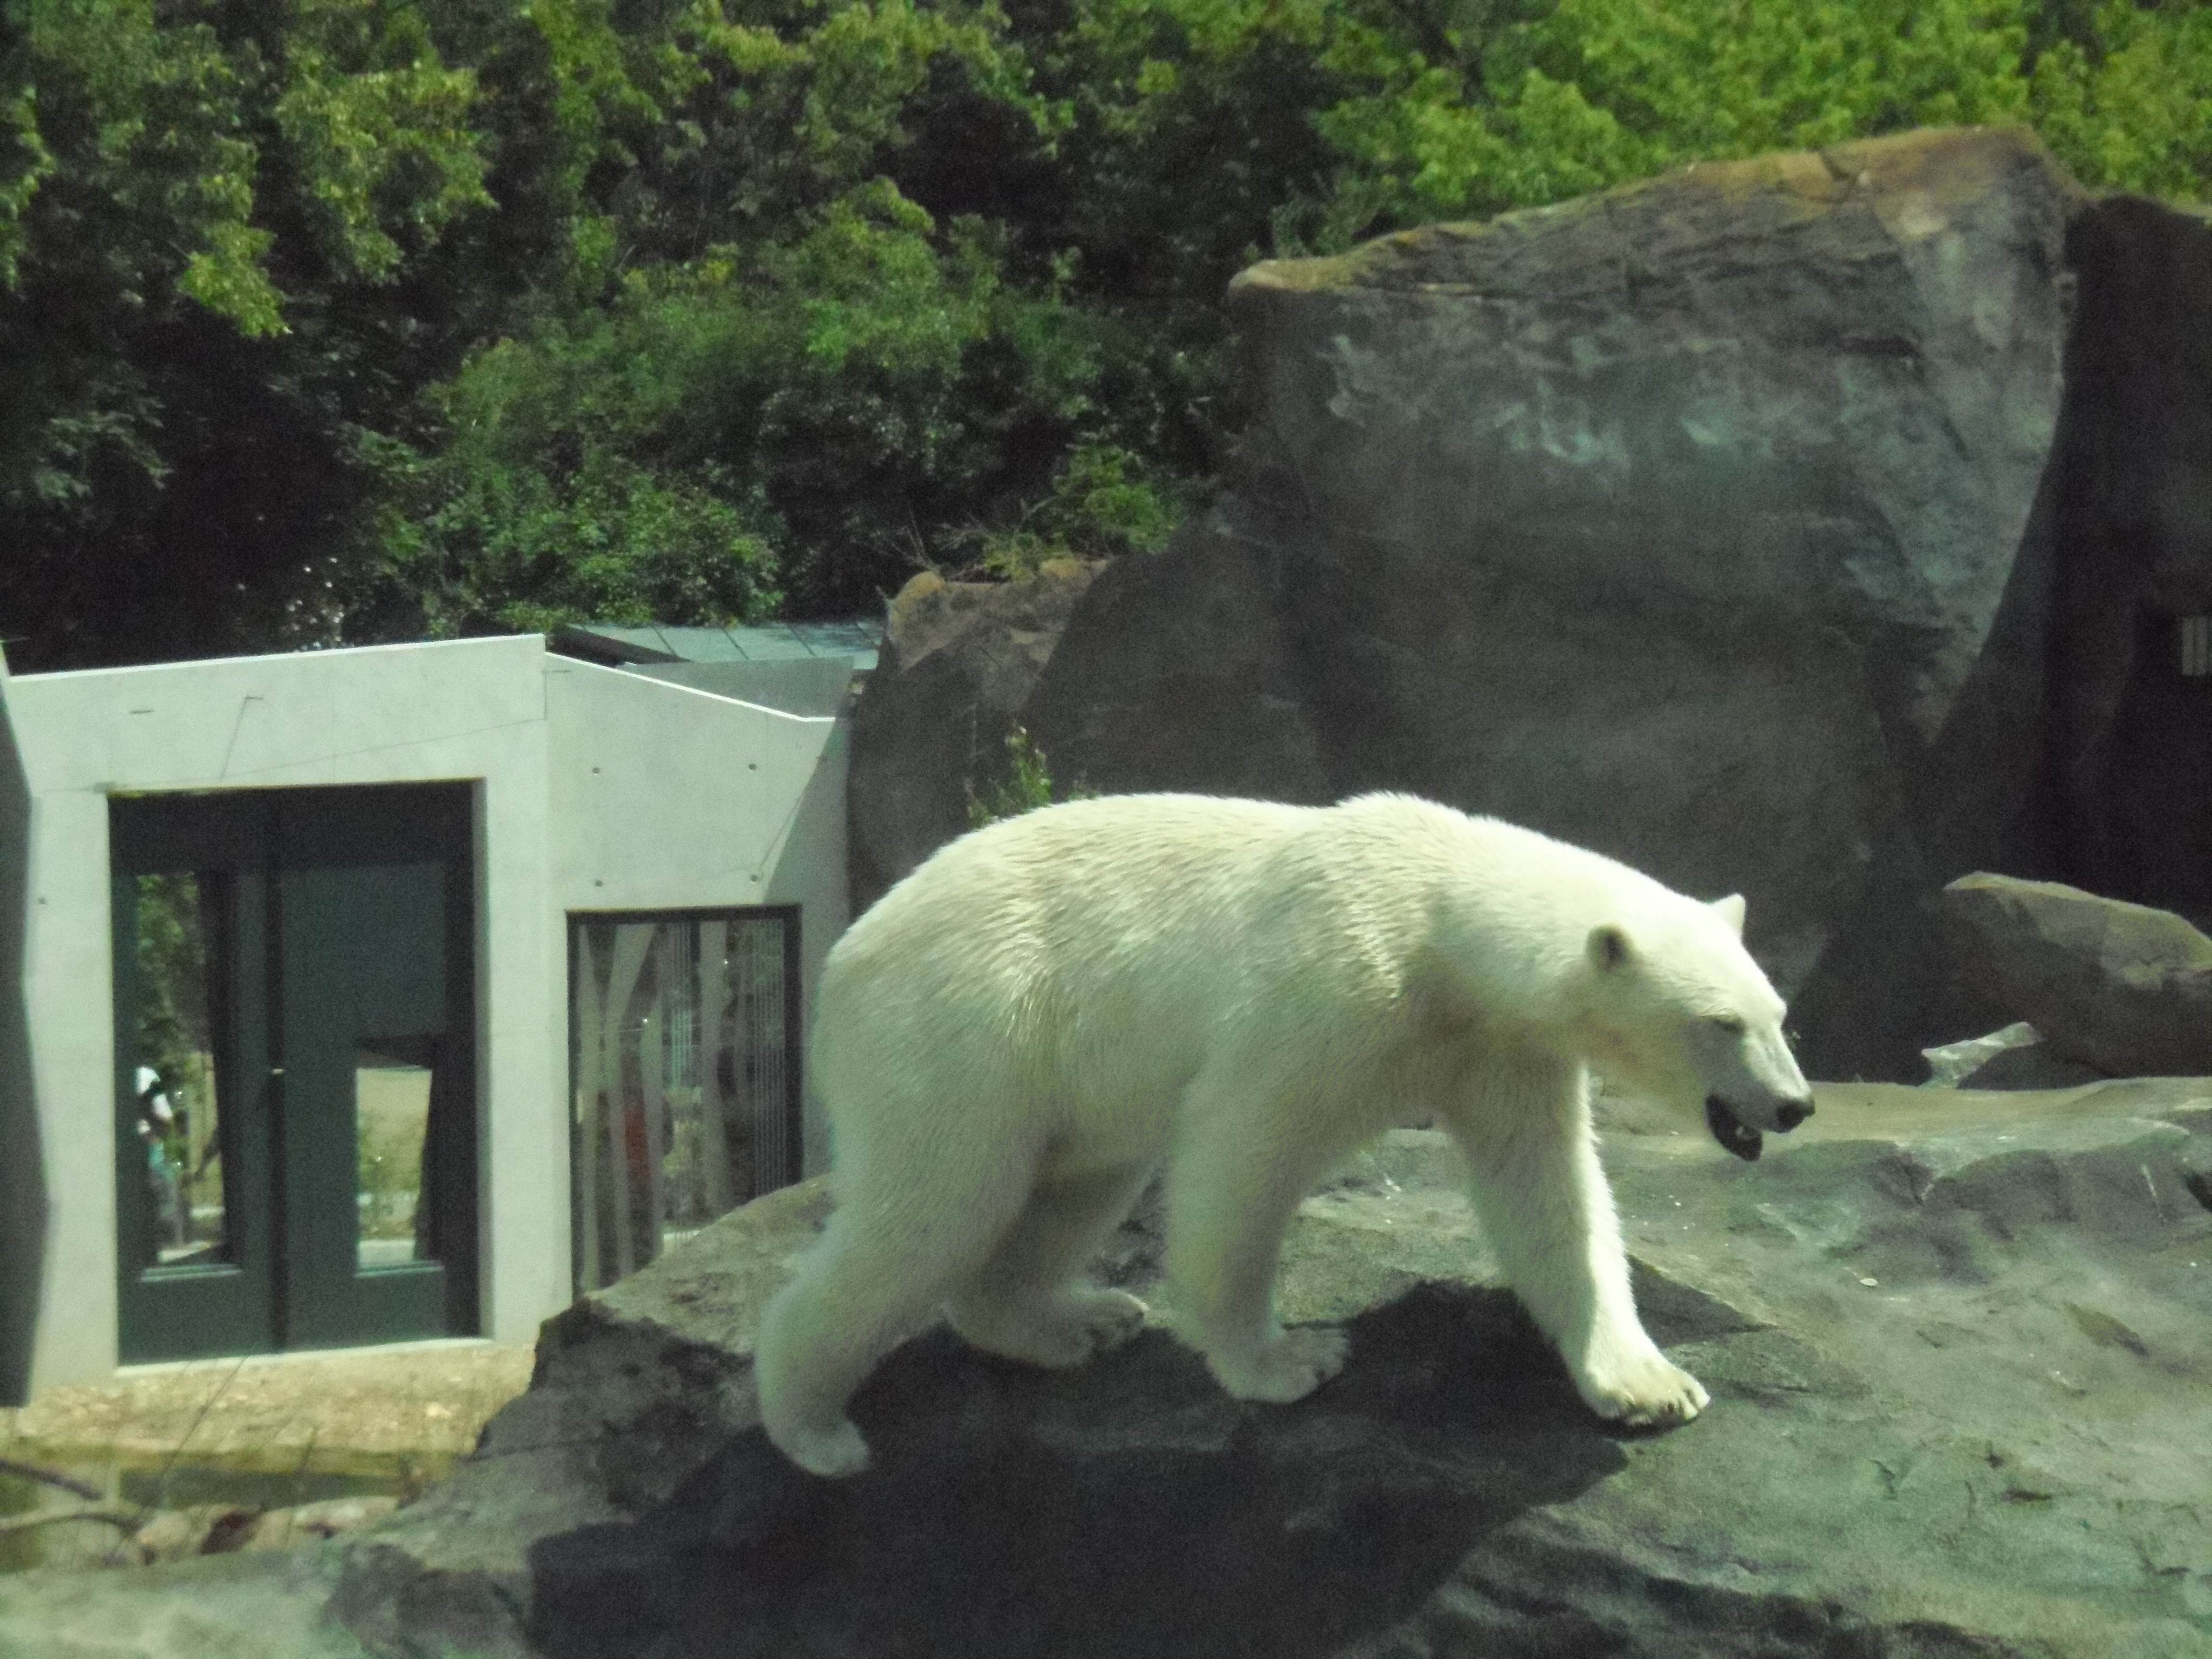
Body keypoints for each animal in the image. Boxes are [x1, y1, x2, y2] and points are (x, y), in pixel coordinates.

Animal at [755, 791, 1813, 1478]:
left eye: (1779, 1014)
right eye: (1719, 1023)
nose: (1793, 1105)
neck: (1439, 917)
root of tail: (846, 955)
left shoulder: (1502, 1051)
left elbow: (1551, 1195)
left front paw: (1648, 1385)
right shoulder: (1330, 993)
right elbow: (1239, 1157)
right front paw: (1287, 1364)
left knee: (1072, 1183)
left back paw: (1079, 1321)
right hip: (969, 1022)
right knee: (934, 1206)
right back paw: (815, 1428)